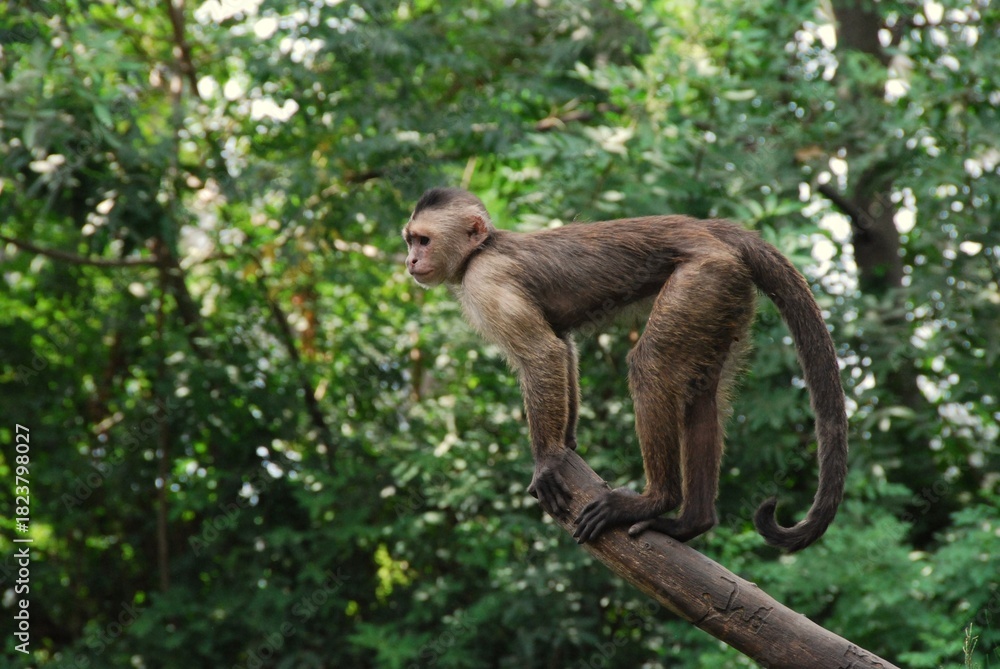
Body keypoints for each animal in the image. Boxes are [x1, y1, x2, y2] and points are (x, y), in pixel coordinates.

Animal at [402, 187, 847, 551]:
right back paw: (692, 522)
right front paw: (566, 442)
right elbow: (562, 348)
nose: (410, 260)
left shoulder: (486, 280)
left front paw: (546, 461)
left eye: (423, 240)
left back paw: (656, 499)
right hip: (728, 293)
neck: (481, 250)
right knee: (701, 393)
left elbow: (542, 354)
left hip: (705, 275)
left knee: (651, 367)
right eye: (410, 241)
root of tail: (704, 228)